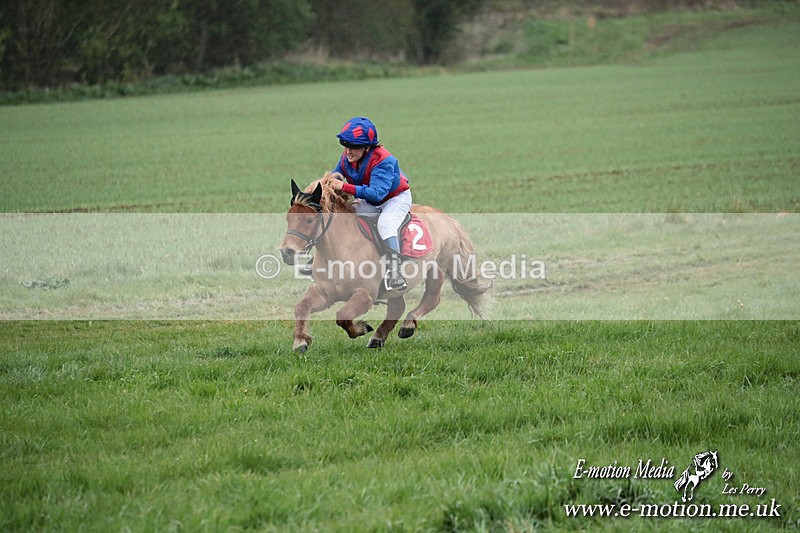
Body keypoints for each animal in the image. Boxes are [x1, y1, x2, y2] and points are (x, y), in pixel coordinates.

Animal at [279, 172, 490, 352]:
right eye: (288, 217)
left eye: (309, 220)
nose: (287, 252)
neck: (340, 252)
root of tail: (448, 218)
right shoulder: (325, 293)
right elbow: (301, 307)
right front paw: (300, 341)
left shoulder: (365, 295)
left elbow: (342, 317)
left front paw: (362, 328)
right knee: (398, 306)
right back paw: (378, 337)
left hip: (437, 268)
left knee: (431, 299)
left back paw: (407, 325)